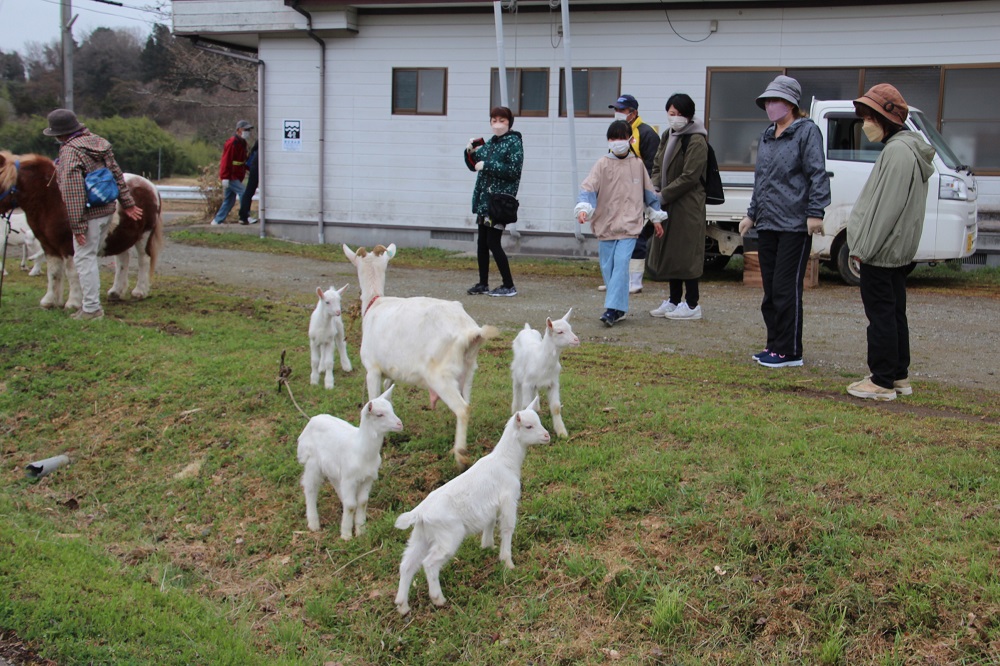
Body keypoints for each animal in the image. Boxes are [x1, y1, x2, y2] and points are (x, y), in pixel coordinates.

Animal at [0, 150, 162, 308]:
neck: (54, 200)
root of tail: (150, 186)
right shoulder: (49, 247)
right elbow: (53, 272)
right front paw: (50, 301)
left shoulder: (70, 246)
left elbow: (72, 272)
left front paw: (73, 303)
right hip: (120, 236)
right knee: (122, 261)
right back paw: (115, 292)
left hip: (144, 236)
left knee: (144, 260)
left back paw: (140, 291)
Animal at [344, 241, 500, 464]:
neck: (375, 303)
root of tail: (470, 331)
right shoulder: (389, 372)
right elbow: (385, 394)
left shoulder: (372, 368)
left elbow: (373, 397)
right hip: (469, 369)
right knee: (468, 402)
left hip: (440, 374)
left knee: (463, 408)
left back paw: (459, 456)